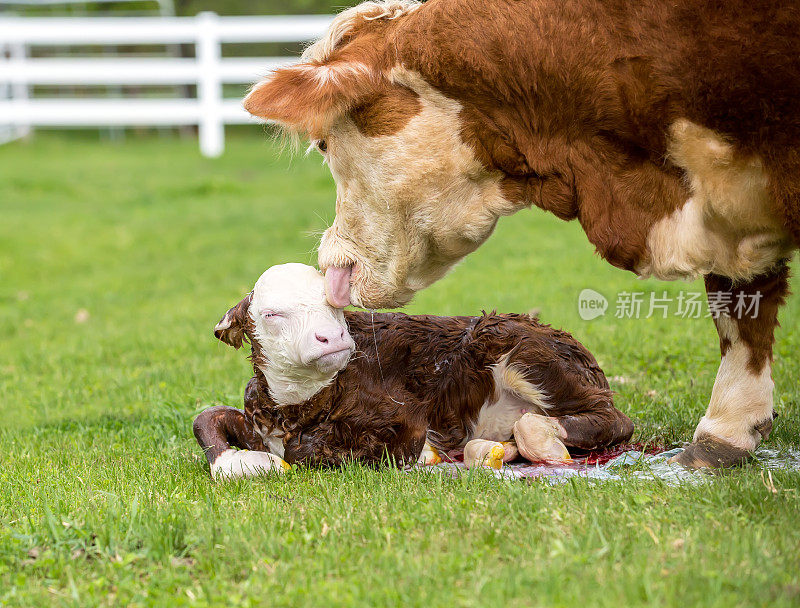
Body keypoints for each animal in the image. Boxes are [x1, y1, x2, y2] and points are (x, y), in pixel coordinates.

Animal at [194, 264, 632, 478]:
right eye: (272, 314)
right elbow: (205, 418)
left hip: (519, 347)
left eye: (335, 303)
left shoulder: (403, 419)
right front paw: (240, 462)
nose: (332, 336)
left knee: (611, 420)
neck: (297, 408)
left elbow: (309, 451)